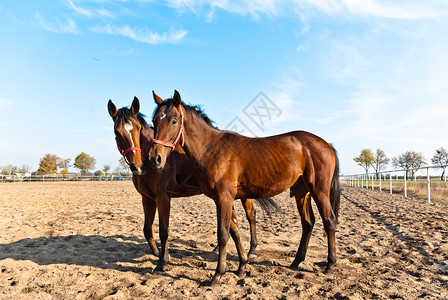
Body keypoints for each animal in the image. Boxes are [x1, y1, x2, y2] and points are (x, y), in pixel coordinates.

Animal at [108, 96, 276, 272]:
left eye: (138, 128)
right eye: (116, 131)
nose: (138, 166)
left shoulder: (163, 198)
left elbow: (164, 231)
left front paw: (163, 261)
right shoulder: (147, 199)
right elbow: (147, 230)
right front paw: (156, 253)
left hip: (244, 196)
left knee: (251, 216)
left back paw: (252, 251)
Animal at [149, 90, 342, 284]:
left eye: (174, 120)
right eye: (154, 120)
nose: (155, 158)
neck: (212, 149)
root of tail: (327, 144)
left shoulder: (224, 198)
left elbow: (223, 234)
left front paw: (218, 274)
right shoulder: (224, 200)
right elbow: (235, 232)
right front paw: (241, 267)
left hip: (319, 191)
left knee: (329, 221)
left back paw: (330, 265)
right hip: (302, 192)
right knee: (308, 223)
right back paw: (296, 261)